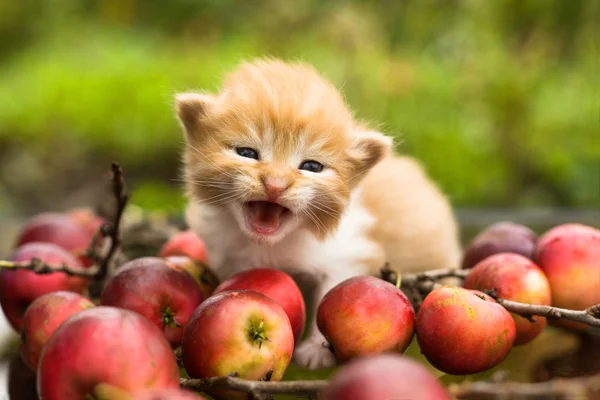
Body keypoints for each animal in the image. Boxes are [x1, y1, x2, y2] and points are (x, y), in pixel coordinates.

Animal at [176, 57, 462, 370]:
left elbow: (330, 289)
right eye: (247, 153)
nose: (275, 184)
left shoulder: (347, 253)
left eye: (311, 167)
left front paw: (317, 349)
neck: (273, 244)